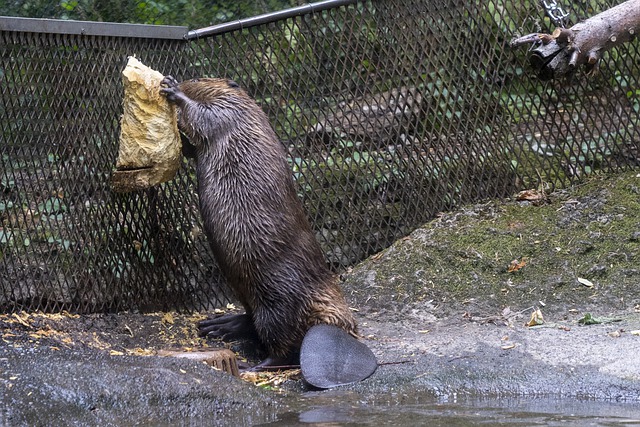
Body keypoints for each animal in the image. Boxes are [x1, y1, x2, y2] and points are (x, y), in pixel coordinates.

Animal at [160, 77, 360, 372]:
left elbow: (204, 119)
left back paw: (250, 365)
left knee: (283, 347)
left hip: (276, 301)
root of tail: (336, 328)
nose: (183, 82)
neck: (248, 110)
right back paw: (220, 325)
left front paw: (174, 91)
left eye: (196, 80)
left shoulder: (229, 112)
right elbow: (192, 149)